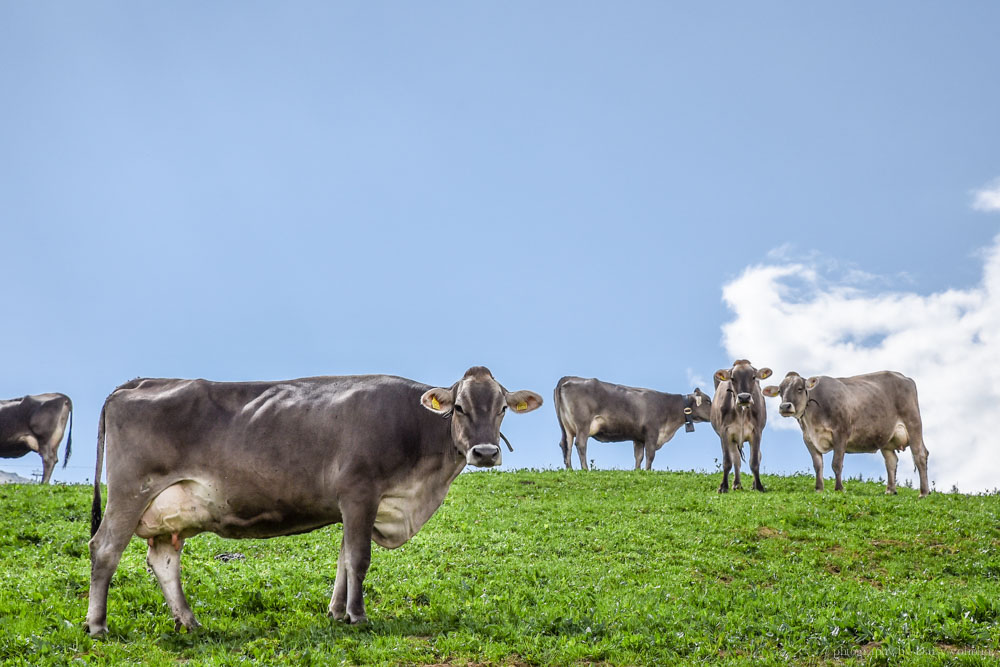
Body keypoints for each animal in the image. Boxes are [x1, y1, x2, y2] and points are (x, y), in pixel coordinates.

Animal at [83, 368, 544, 640]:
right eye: (460, 407)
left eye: (503, 409)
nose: (485, 452)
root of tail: (139, 381)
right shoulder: (360, 492)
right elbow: (359, 558)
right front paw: (357, 615)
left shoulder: (351, 505)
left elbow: (342, 559)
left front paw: (336, 612)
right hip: (131, 491)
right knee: (104, 549)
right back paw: (97, 625)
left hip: (168, 509)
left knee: (163, 560)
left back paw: (189, 620)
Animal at [556, 376, 712, 470]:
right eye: (708, 401)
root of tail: (569, 379)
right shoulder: (651, 433)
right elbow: (650, 455)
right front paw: (648, 471)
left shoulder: (638, 438)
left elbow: (639, 456)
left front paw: (637, 471)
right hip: (582, 424)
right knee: (580, 444)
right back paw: (585, 469)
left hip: (567, 428)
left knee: (566, 445)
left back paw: (570, 469)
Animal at [708, 360, 768, 496]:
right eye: (732, 378)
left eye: (753, 377)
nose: (744, 397)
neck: (741, 411)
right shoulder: (725, 433)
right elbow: (727, 461)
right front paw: (723, 486)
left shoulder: (757, 431)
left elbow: (755, 461)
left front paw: (759, 486)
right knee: (736, 459)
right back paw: (737, 484)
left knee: (757, 456)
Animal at [764, 370, 928, 496]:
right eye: (780, 391)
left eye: (799, 388)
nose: (785, 406)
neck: (812, 421)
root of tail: (904, 377)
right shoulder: (808, 440)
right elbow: (817, 465)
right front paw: (819, 489)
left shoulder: (840, 434)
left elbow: (836, 464)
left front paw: (839, 488)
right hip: (887, 437)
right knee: (891, 461)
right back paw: (890, 490)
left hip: (913, 424)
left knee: (920, 455)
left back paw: (924, 492)